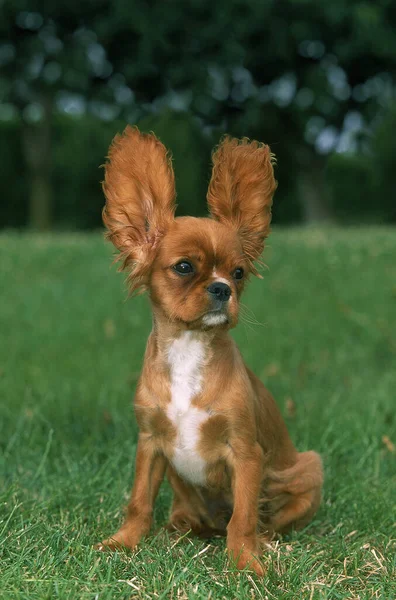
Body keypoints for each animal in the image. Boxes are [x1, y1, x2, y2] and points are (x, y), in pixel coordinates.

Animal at [97, 126, 324, 576]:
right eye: (185, 267)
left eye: (238, 273)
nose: (223, 289)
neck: (190, 348)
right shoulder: (150, 443)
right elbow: (139, 502)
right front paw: (123, 542)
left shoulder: (246, 453)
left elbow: (244, 516)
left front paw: (246, 562)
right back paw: (184, 525)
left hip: (309, 469)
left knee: (263, 517)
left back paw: (263, 540)